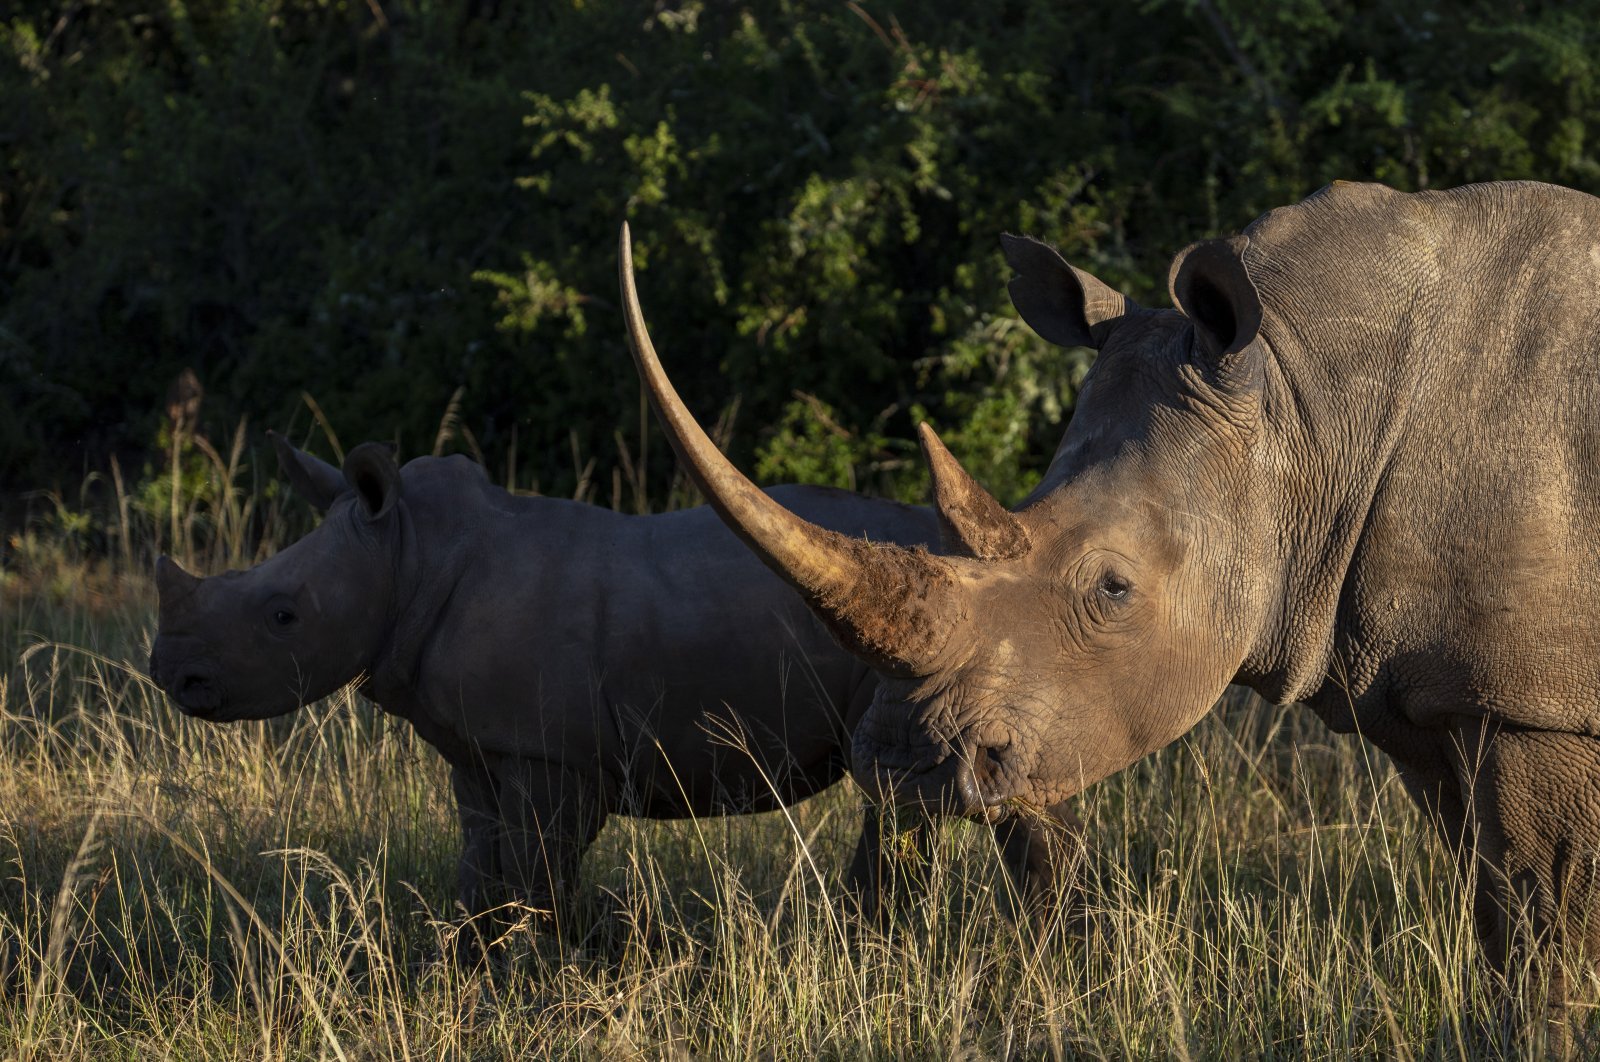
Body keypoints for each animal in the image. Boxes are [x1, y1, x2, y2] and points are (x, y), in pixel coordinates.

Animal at [147, 435, 1088, 934]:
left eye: (282, 617)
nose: (171, 674)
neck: (406, 555)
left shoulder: (550, 756)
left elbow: (537, 870)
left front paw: (536, 971)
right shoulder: (481, 748)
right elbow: (480, 862)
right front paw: (469, 960)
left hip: (957, 643)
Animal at [617, 182, 1600, 1030]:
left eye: (1112, 589)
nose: (899, 765)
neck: (1305, 401)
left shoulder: (1530, 706)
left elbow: (1546, 927)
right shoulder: (1444, 690)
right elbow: (1498, 914)